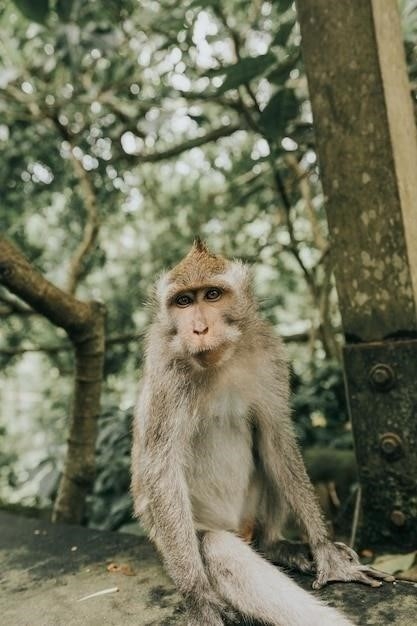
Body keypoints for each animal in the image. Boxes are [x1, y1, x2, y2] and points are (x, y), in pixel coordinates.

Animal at [131, 240, 394, 624]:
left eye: (212, 295)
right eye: (183, 301)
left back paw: (276, 545)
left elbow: (275, 436)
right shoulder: (166, 369)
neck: (219, 362)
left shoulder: (269, 352)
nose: (198, 329)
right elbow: (161, 471)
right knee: (216, 546)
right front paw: (198, 598)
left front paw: (325, 551)